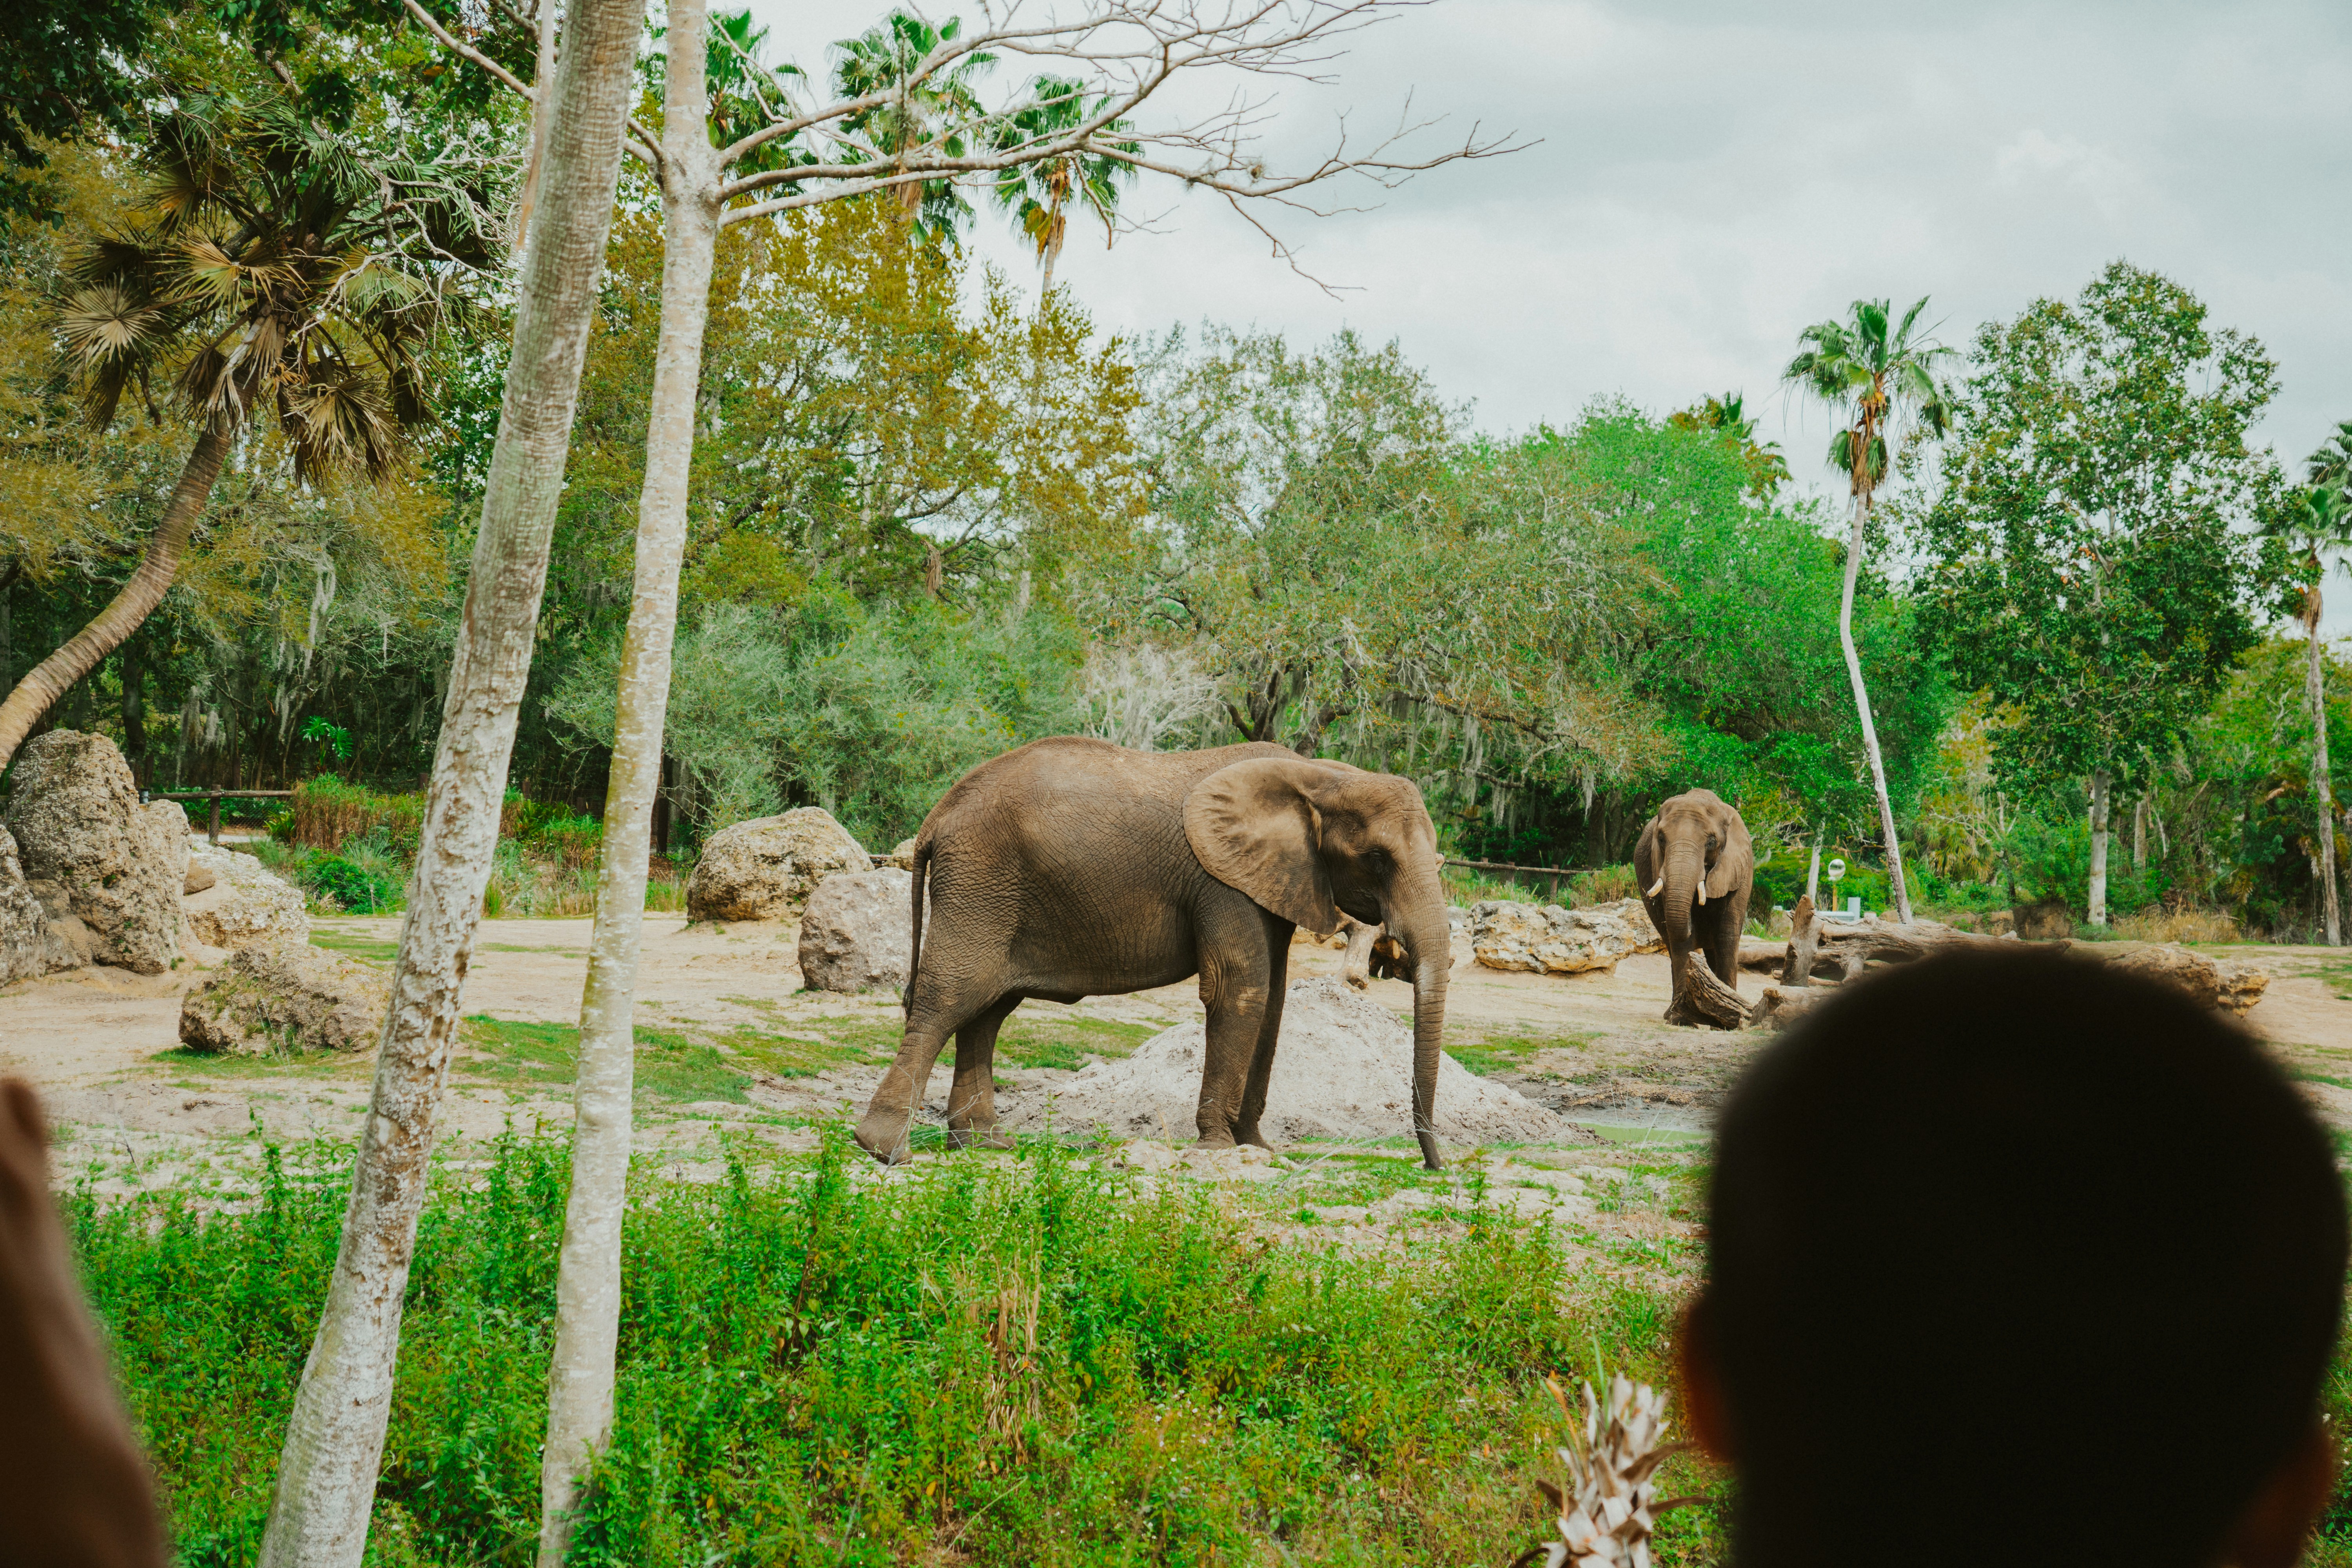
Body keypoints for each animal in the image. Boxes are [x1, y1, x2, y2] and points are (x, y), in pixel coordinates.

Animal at [852, 737, 1455, 1169]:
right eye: (1377, 859)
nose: (1436, 1166)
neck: (1319, 775)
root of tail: (937, 816)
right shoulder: (1222, 884)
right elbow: (1241, 989)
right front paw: (1220, 1150)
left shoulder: (1274, 881)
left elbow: (1274, 999)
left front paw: (1258, 1150)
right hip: (981, 885)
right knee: (950, 998)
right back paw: (886, 1150)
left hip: (996, 893)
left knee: (987, 1010)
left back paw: (985, 1145)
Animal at [1634, 788, 1755, 1029]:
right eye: (1661, 839)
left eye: (1711, 842)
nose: (1696, 916)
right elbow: (1681, 940)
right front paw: (1682, 1018)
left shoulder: (1740, 871)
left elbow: (1727, 934)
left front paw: (1730, 1016)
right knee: (1671, 942)